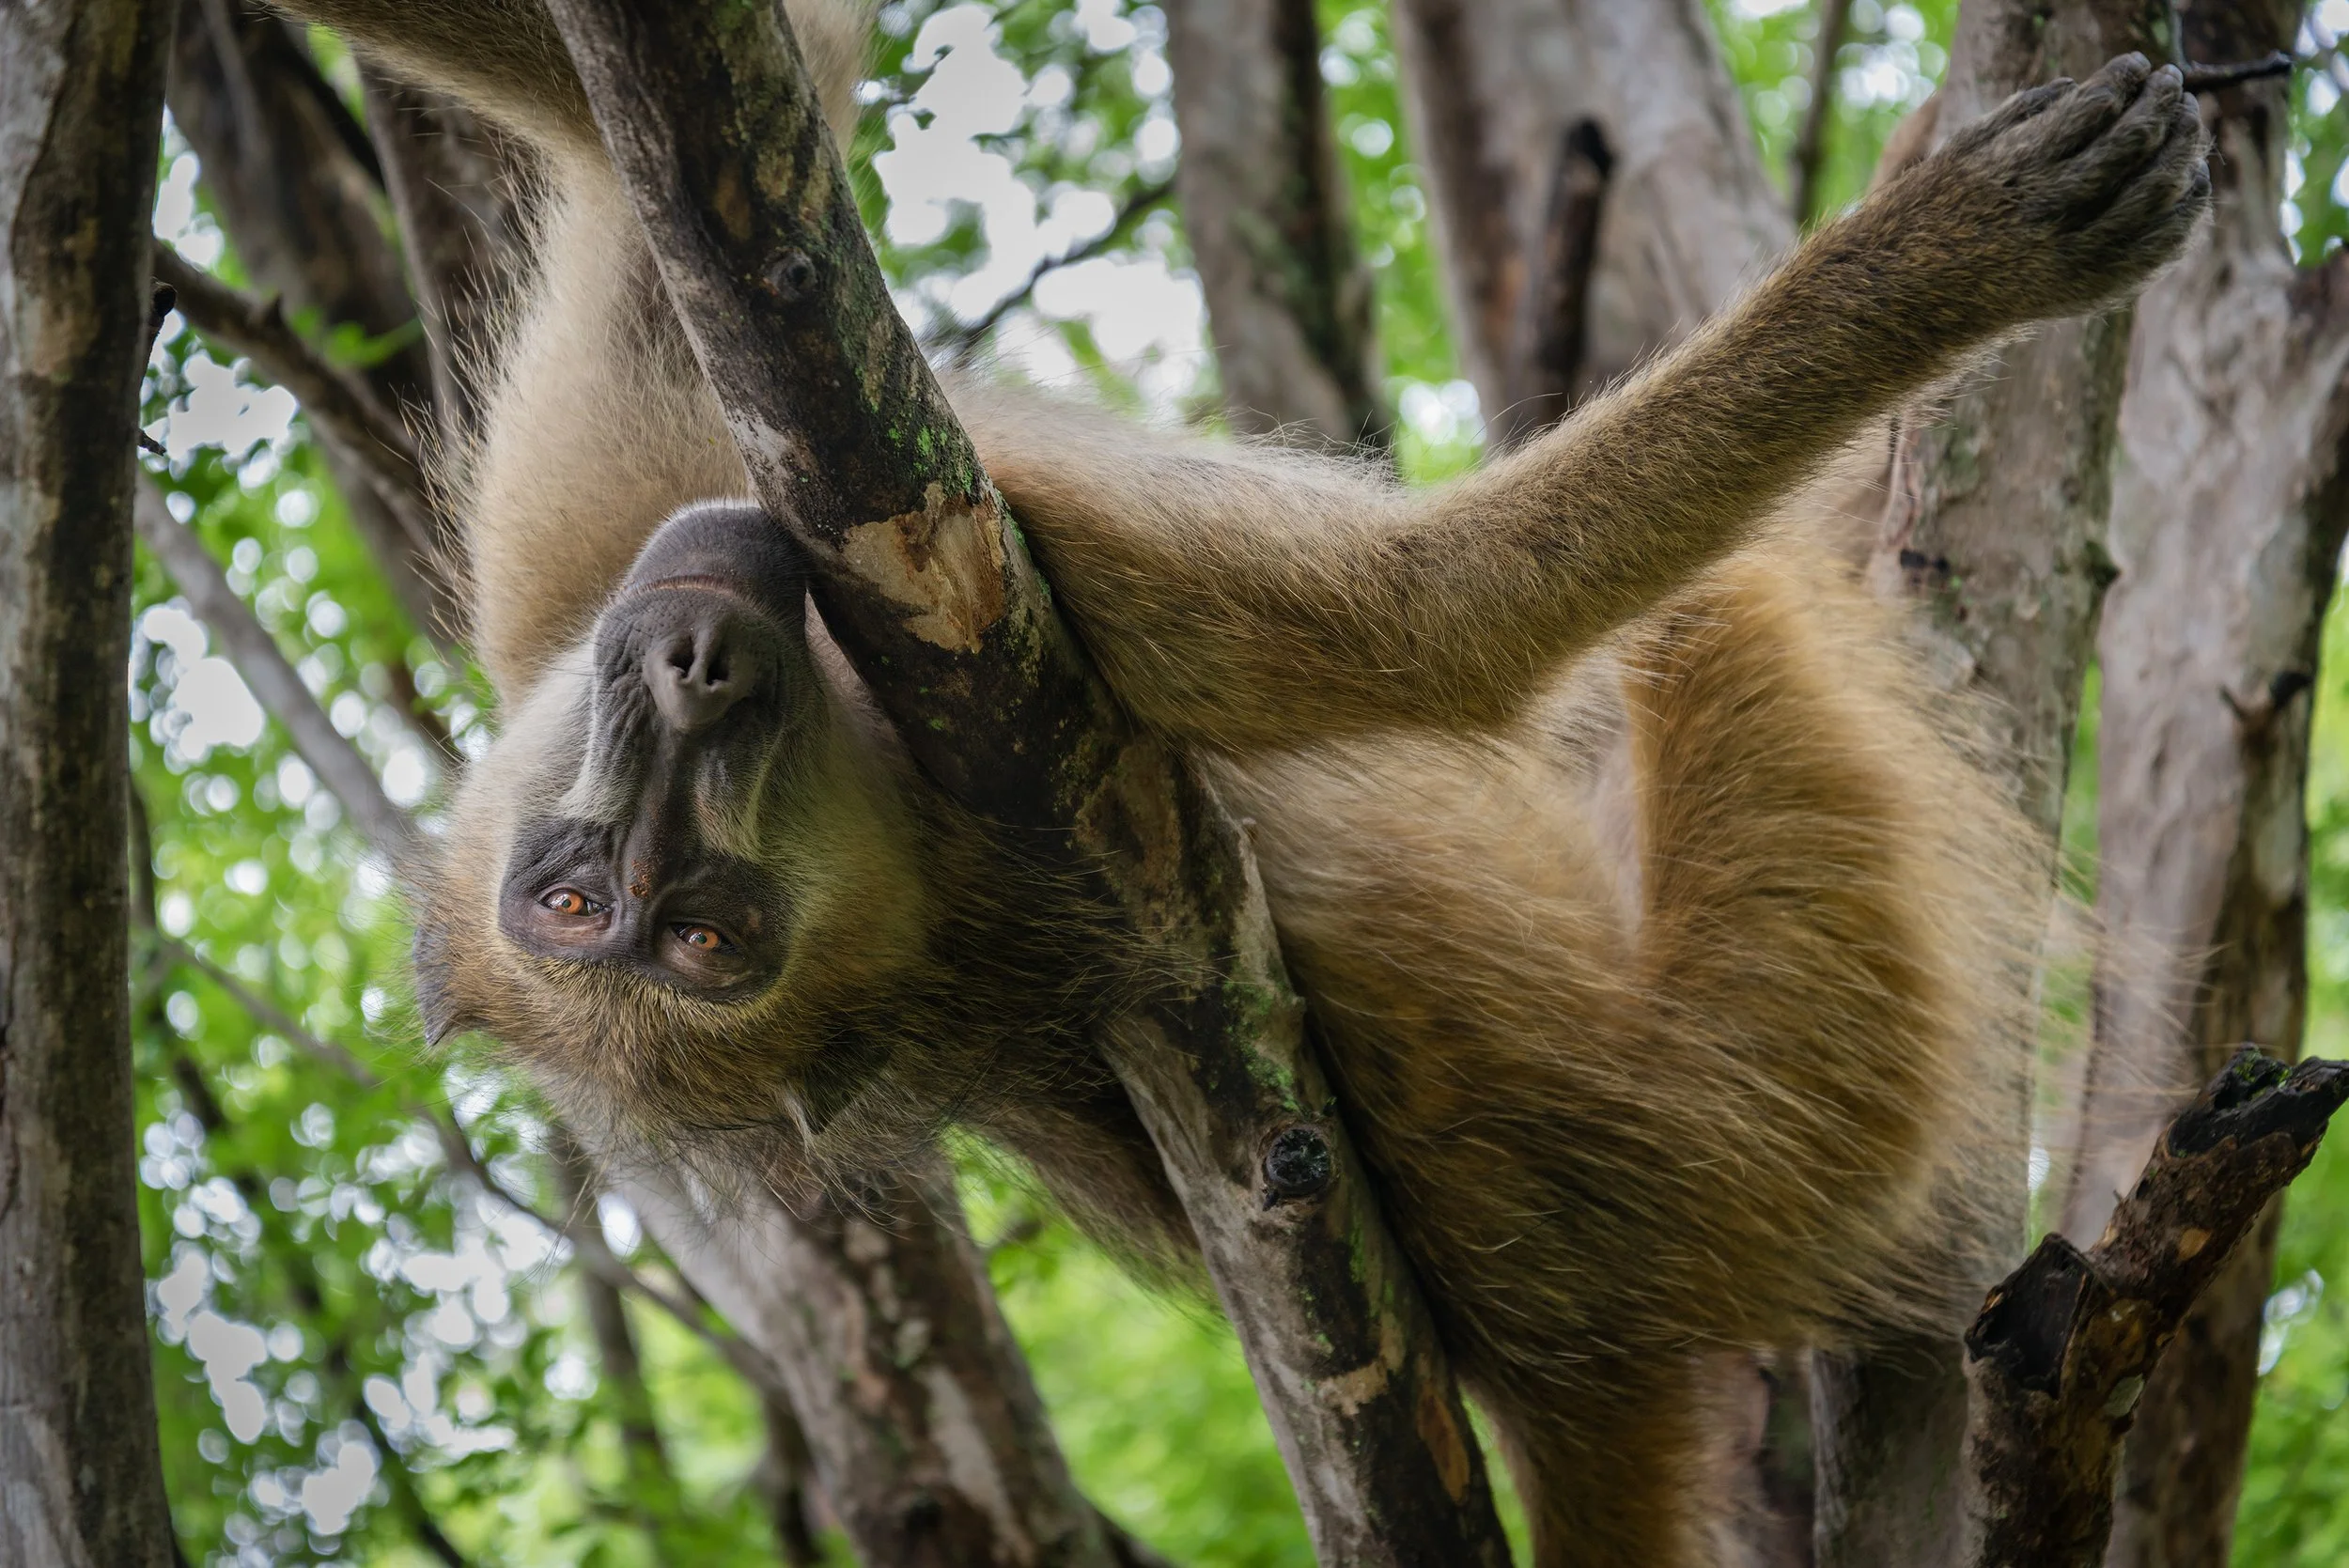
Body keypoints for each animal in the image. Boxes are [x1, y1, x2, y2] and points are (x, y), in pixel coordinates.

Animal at [263, 3, 2209, 1561]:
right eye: (678, 929)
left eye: (599, 898)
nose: (693, 675)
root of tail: (1587, 1348)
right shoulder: (1058, 677)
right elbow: (1446, 622)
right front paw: (1964, 247)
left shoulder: (567, 547)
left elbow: (694, 100)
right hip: (1835, 999)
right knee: (1697, 617)